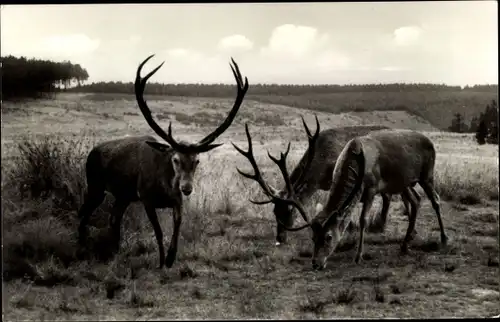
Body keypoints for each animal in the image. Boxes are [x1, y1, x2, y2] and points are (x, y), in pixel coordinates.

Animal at [77, 54, 248, 268]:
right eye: (175, 159)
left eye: (197, 161)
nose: (187, 187)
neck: (165, 187)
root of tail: (91, 153)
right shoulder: (145, 197)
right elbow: (158, 231)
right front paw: (160, 261)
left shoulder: (177, 200)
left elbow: (178, 225)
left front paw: (171, 257)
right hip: (95, 185)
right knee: (83, 212)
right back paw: (81, 246)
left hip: (123, 195)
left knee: (114, 217)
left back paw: (114, 250)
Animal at [232, 119, 448, 270]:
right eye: (274, 213)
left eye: (289, 212)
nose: (280, 238)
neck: (319, 165)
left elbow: (350, 215)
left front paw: (355, 248)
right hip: (403, 182)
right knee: (414, 199)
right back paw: (408, 237)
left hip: (423, 176)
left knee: (429, 200)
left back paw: (435, 237)